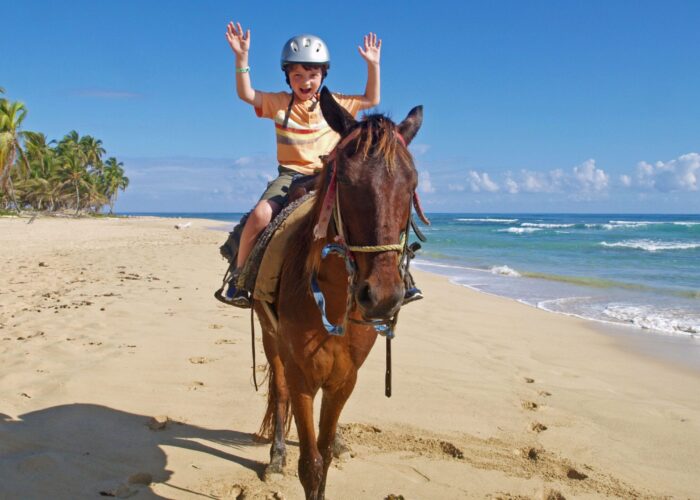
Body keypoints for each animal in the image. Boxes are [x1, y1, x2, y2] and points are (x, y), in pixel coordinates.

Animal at [253, 86, 423, 500]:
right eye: (343, 180)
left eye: (412, 183)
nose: (382, 296)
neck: (330, 299)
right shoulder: (301, 374)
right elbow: (311, 464)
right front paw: (289, 459)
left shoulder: (345, 378)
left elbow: (325, 450)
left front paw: (336, 443)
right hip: (270, 339)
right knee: (278, 392)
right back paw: (276, 455)